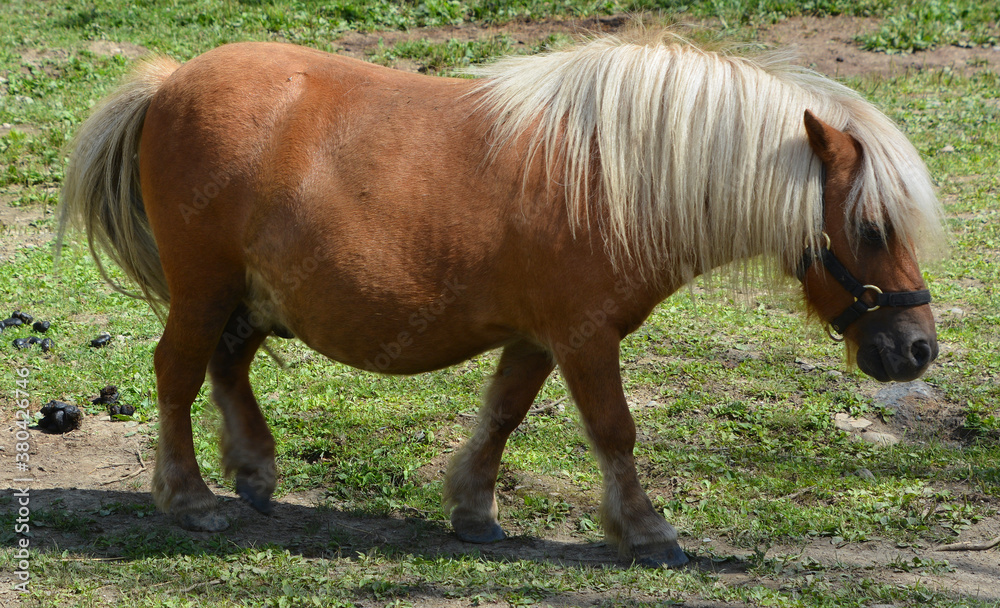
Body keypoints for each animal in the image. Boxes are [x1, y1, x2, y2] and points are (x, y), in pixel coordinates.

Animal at [59, 30, 944, 568]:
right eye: (870, 226)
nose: (917, 350)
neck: (614, 176)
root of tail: (170, 82)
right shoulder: (584, 336)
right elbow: (614, 431)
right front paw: (645, 529)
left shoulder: (537, 337)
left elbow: (503, 416)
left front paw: (473, 510)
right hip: (204, 287)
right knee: (177, 371)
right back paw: (189, 497)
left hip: (248, 293)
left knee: (227, 365)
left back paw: (252, 468)